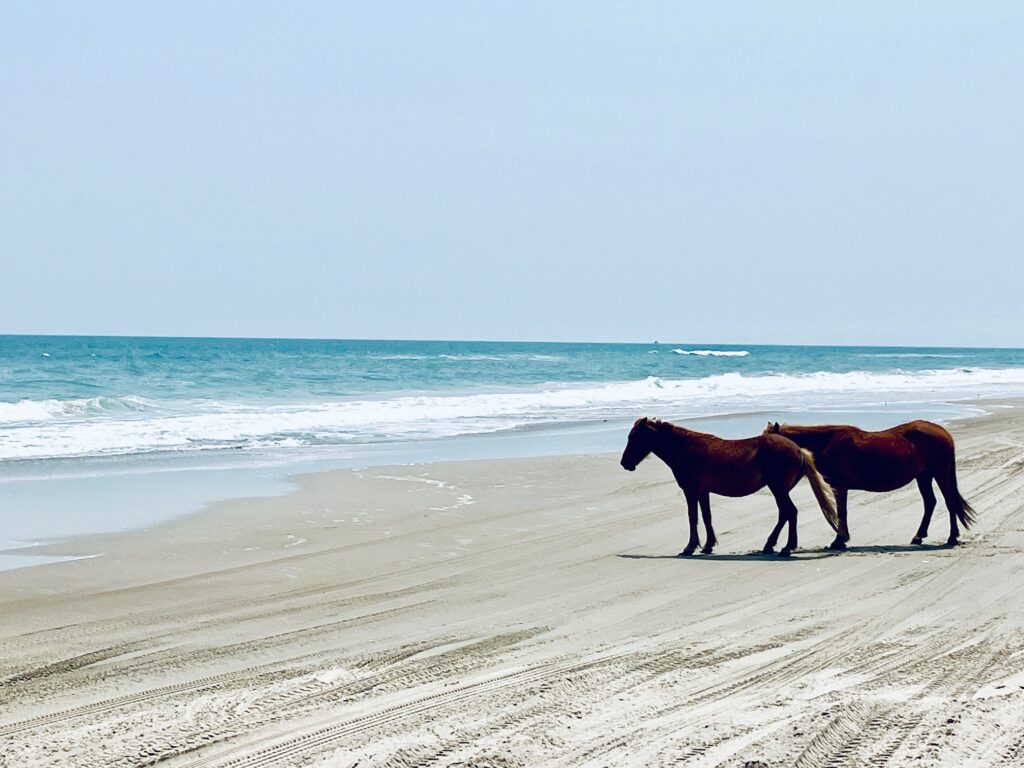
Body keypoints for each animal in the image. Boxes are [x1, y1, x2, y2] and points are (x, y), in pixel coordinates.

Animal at [620, 417, 838, 557]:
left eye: (634, 438)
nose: (624, 463)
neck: (685, 447)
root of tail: (798, 450)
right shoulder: (703, 492)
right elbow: (706, 517)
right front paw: (707, 546)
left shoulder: (691, 490)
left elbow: (693, 517)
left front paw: (690, 547)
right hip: (779, 490)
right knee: (785, 513)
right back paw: (770, 546)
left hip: (778, 489)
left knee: (789, 512)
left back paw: (786, 548)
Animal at [764, 420, 976, 548]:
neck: (826, 442)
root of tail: (943, 432)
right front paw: (841, 539)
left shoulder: (840, 487)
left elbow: (842, 513)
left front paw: (839, 540)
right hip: (924, 476)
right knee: (931, 503)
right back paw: (919, 536)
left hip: (940, 473)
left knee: (950, 502)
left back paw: (952, 537)